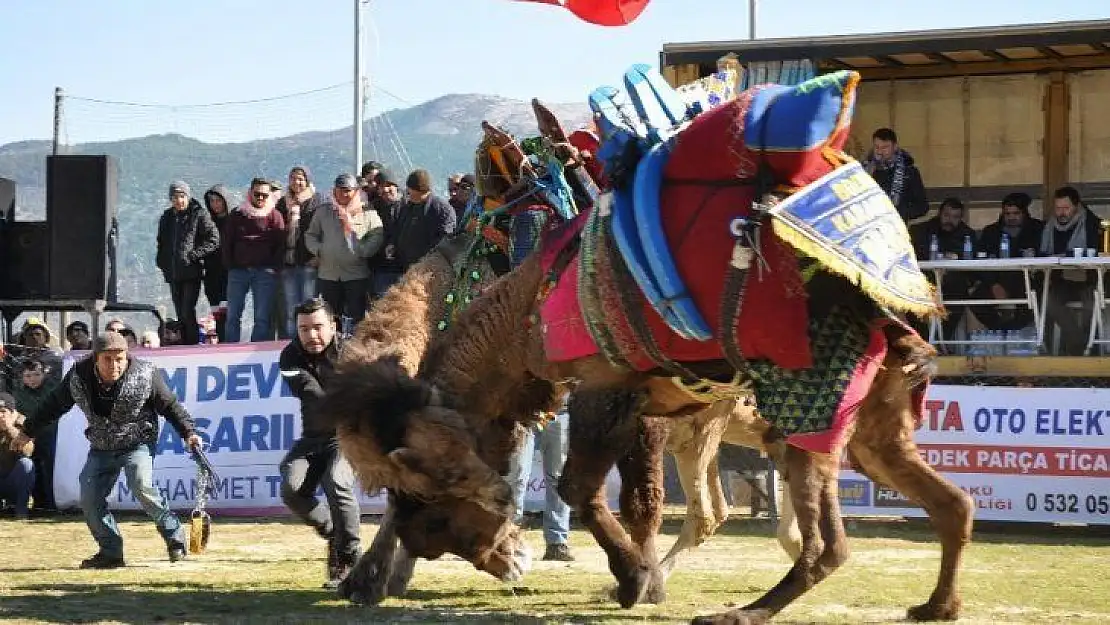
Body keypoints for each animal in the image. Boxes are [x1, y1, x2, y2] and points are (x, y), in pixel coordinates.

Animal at [321, 69, 972, 625]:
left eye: (436, 500)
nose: (502, 557)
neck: (524, 308)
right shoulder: (637, 401)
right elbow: (617, 494)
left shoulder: (608, 387)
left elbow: (596, 492)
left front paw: (637, 579)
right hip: (871, 424)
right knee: (949, 503)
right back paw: (936, 604)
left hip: (810, 406)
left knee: (820, 541)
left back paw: (742, 610)